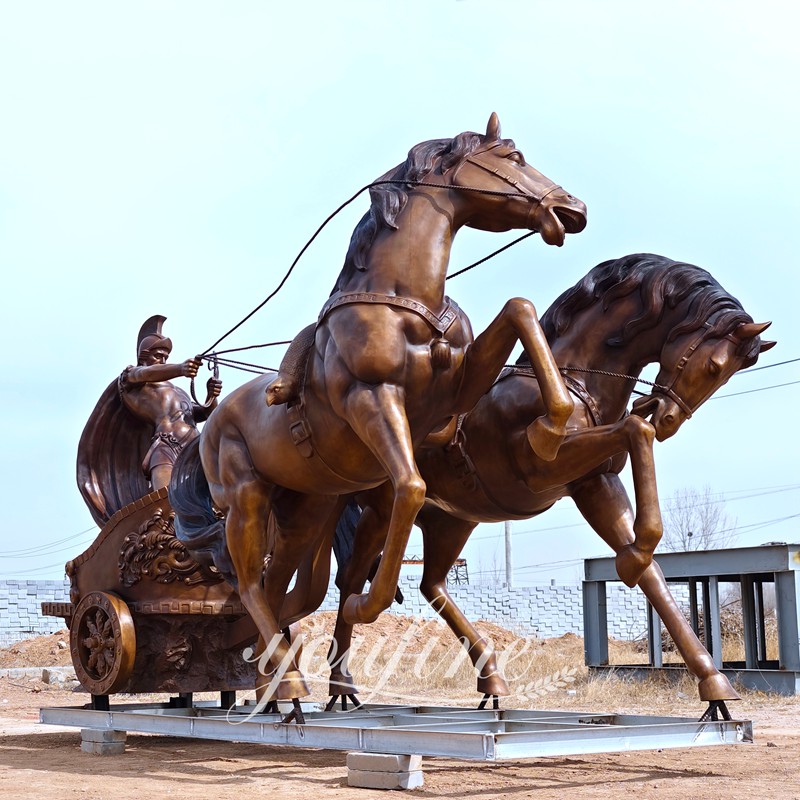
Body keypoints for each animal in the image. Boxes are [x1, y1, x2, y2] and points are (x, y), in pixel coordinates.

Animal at [172, 115, 588, 704]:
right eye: (514, 157)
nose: (574, 209)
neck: (400, 302)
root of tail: (207, 427)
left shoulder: (449, 401)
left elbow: (519, 308)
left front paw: (552, 427)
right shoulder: (373, 398)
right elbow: (410, 487)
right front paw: (365, 603)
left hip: (305, 511)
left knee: (284, 592)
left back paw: (272, 685)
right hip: (246, 499)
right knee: (252, 585)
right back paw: (289, 682)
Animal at [326, 255, 776, 708]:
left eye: (724, 376)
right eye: (714, 366)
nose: (668, 419)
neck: (578, 380)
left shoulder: (593, 482)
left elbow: (650, 568)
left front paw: (715, 686)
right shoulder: (545, 467)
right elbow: (636, 430)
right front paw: (632, 558)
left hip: (451, 520)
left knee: (431, 583)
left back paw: (491, 678)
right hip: (382, 510)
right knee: (350, 580)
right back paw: (341, 686)